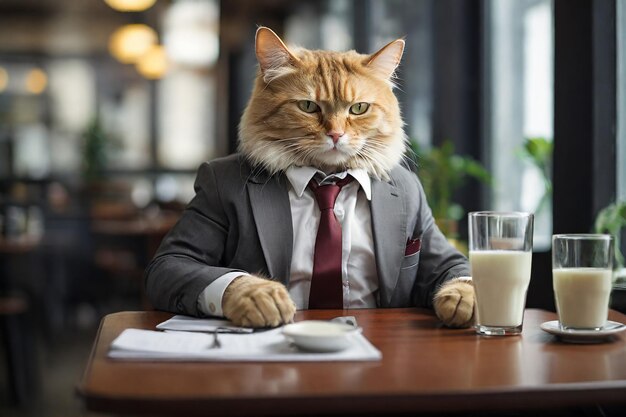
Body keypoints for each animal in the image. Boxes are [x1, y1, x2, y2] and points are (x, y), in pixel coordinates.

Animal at [143, 26, 472, 328]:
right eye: (308, 106)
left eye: (359, 108)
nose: (336, 135)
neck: (328, 181)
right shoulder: (175, 257)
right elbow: (221, 275)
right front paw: (260, 296)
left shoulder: (437, 246)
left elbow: (458, 269)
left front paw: (462, 301)